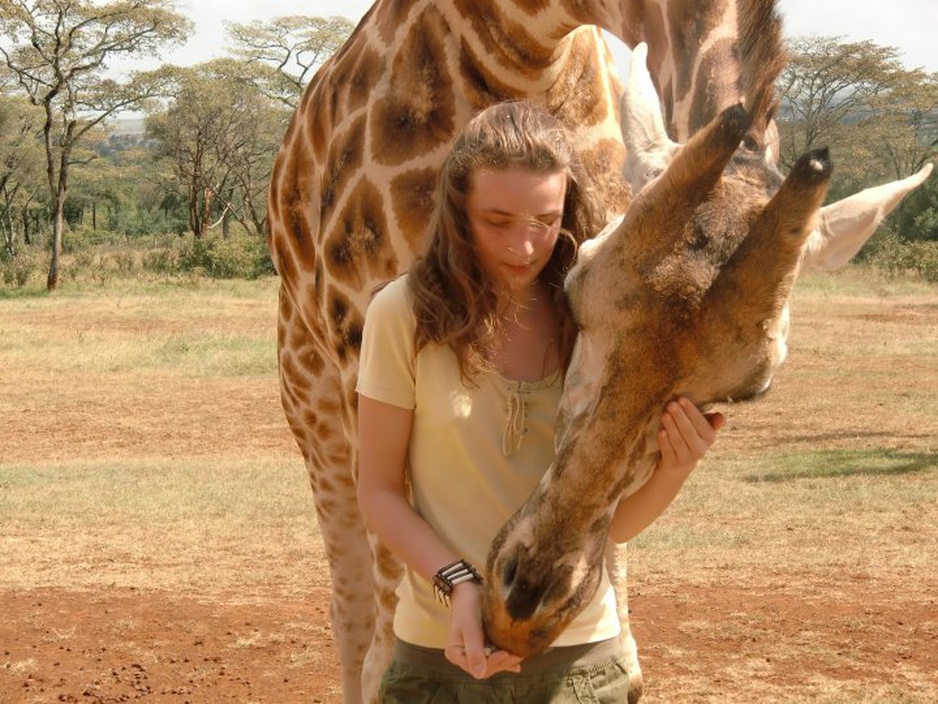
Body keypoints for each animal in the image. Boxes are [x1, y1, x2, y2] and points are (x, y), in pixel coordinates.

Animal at [266, 1, 932, 700]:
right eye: (576, 285)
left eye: (755, 387)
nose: (522, 607)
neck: (525, 44)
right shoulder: (364, 347)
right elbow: (383, 652)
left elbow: (625, 640)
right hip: (314, 403)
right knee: (353, 618)